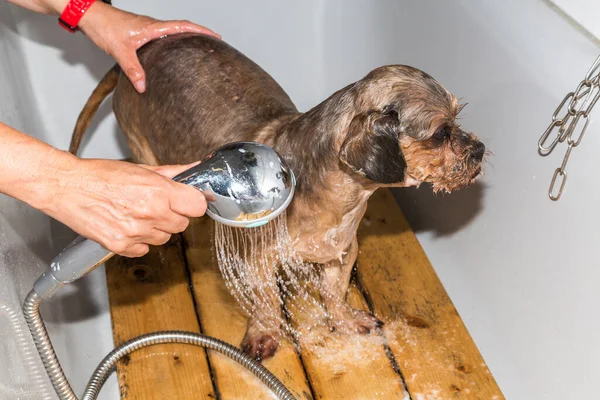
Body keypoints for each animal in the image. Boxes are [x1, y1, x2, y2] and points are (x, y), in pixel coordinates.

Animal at [68, 32, 486, 360]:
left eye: (458, 116)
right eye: (441, 134)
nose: (479, 150)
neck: (338, 203)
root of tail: (141, 50)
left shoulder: (342, 251)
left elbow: (335, 294)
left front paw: (345, 321)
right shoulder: (257, 261)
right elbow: (267, 301)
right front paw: (265, 334)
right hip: (142, 147)